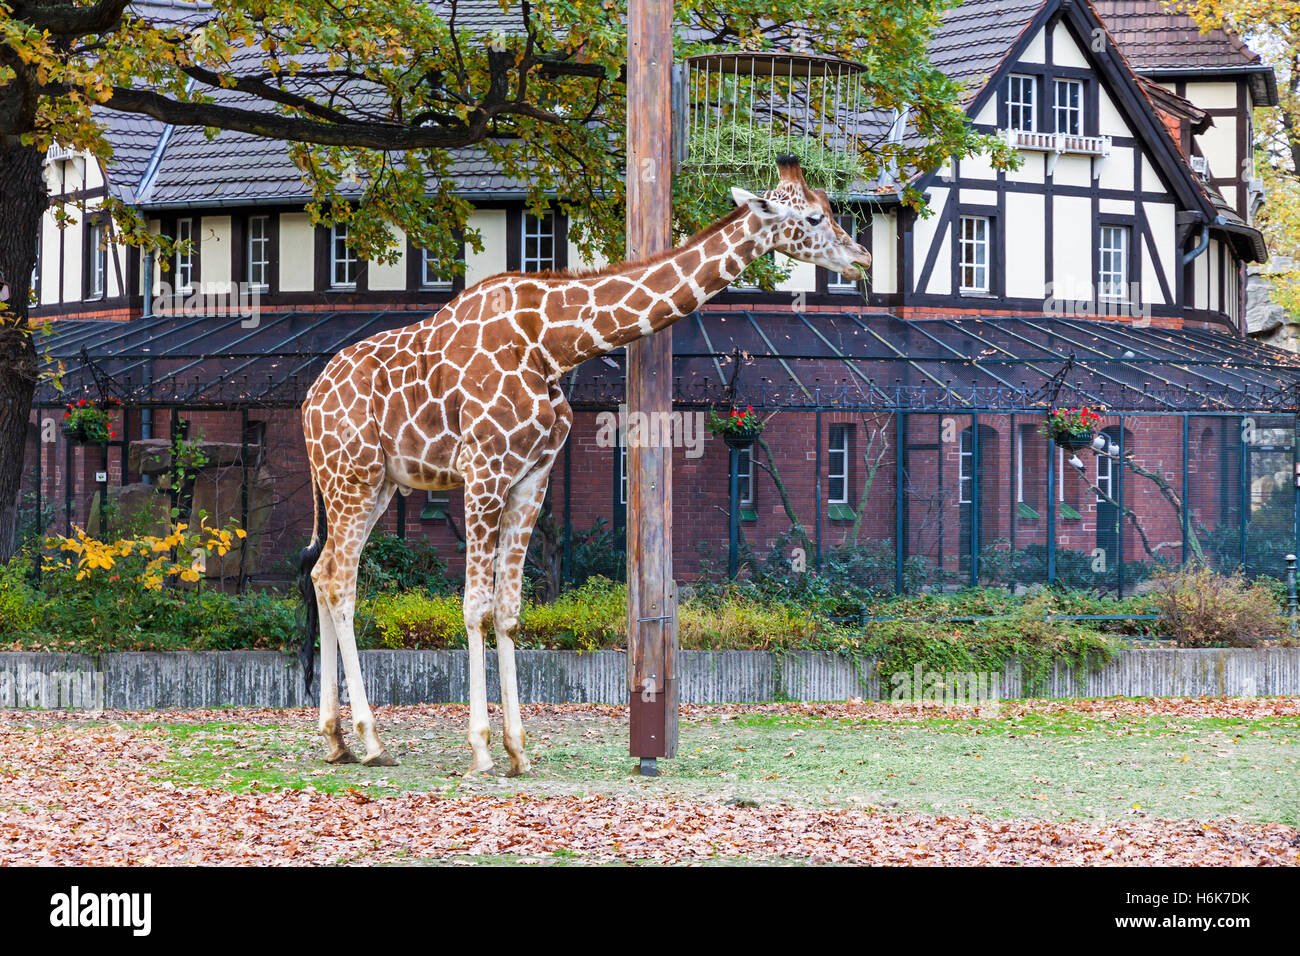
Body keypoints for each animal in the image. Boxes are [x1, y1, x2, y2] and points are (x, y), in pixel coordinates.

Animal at [299, 155, 871, 775]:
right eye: (814, 216)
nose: (862, 259)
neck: (554, 343)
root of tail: (307, 402)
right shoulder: (484, 470)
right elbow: (475, 606)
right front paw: (481, 747)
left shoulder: (532, 477)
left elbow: (508, 609)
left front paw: (518, 748)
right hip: (351, 476)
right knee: (340, 581)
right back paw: (371, 739)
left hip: (374, 483)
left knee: (326, 573)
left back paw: (335, 738)